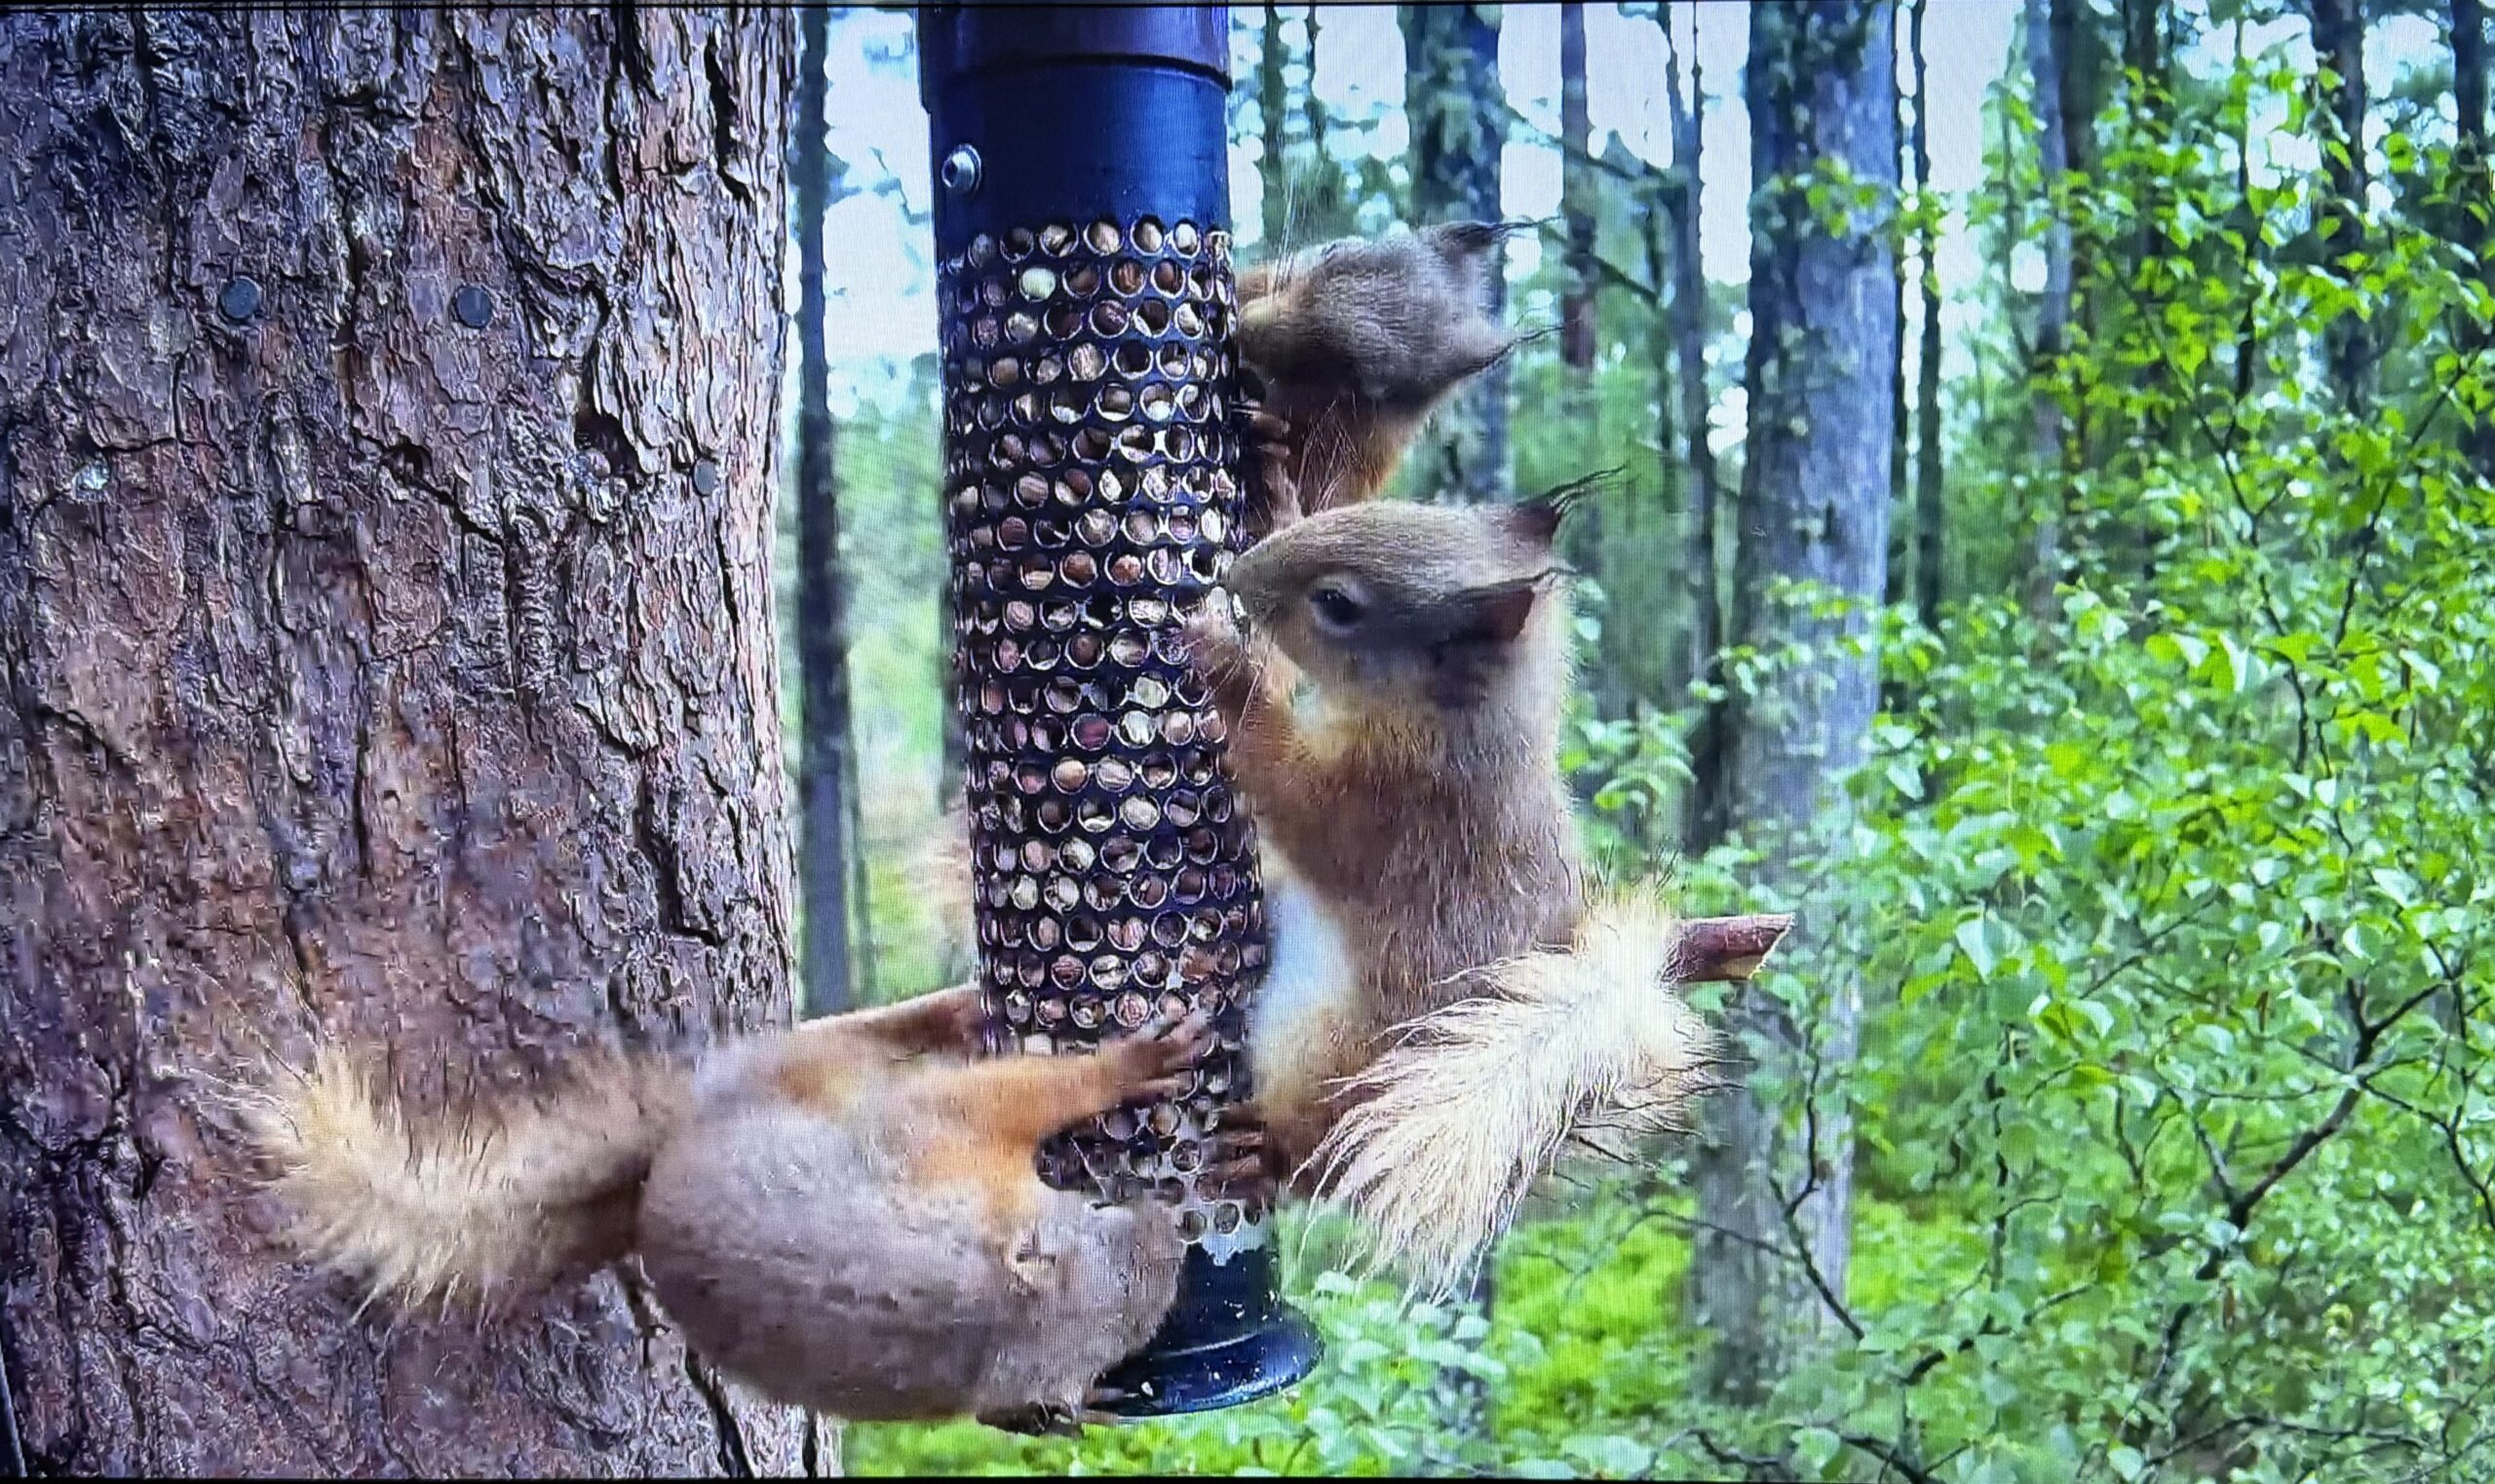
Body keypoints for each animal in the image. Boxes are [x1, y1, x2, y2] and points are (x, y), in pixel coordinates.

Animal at [236, 988, 1259, 1435]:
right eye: (1104, 1232)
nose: (1173, 1234)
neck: (979, 1314)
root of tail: (663, 1157)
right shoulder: (941, 1136)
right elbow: (1026, 1091)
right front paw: (1126, 1063)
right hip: (814, 1070)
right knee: (864, 1036)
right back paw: (957, 1003)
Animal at [1178, 488, 1726, 1295]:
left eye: (1336, 604)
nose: (1234, 575)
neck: (1453, 718)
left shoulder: (1395, 807)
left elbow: (1291, 790)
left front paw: (1225, 662)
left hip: (1322, 1059)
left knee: (1306, 1163)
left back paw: (1265, 1150)